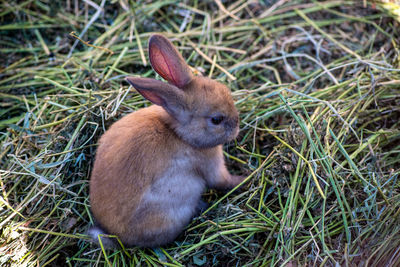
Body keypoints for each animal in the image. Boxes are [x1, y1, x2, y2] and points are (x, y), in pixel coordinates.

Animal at [89, 34, 244, 249]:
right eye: (216, 120)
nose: (237, 125)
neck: (179, 132)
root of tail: (116, 236)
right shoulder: (211, 167)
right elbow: (223, 181)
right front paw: (247, 177)